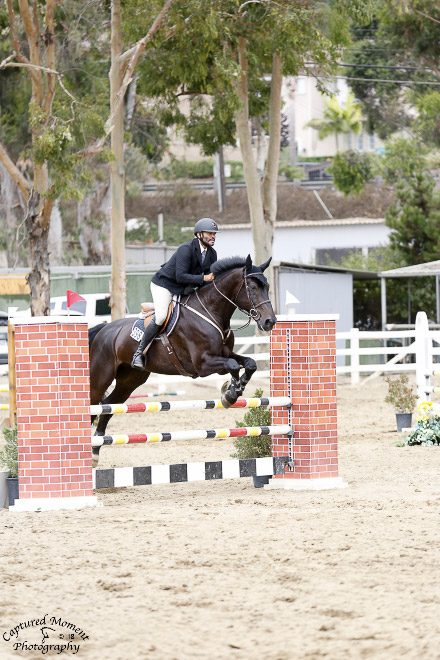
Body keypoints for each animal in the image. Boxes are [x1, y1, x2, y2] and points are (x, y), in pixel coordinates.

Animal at [87, 255, 276, 466]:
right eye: (252, 287)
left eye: (267, 287)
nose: (270, 321)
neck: (210, 311)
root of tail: (103, 329)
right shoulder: (203, 364)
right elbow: (233, 366)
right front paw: (230, 394)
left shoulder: (225, 355)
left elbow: (249, 363)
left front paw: (234, 388)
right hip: (100, 377)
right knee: (94, 404)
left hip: (130, 380)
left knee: (108, 406)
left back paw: (95, 452)